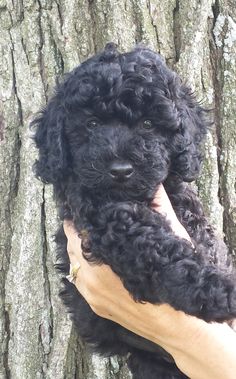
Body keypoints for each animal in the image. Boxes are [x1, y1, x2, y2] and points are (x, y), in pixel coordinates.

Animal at [32, 43, 236, 378]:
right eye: (91, 124)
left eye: (148, 124)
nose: (120, 170)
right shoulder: (104, 216)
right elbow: (155, 247)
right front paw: (218, 289)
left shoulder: (181, 202)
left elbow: (200, 238)